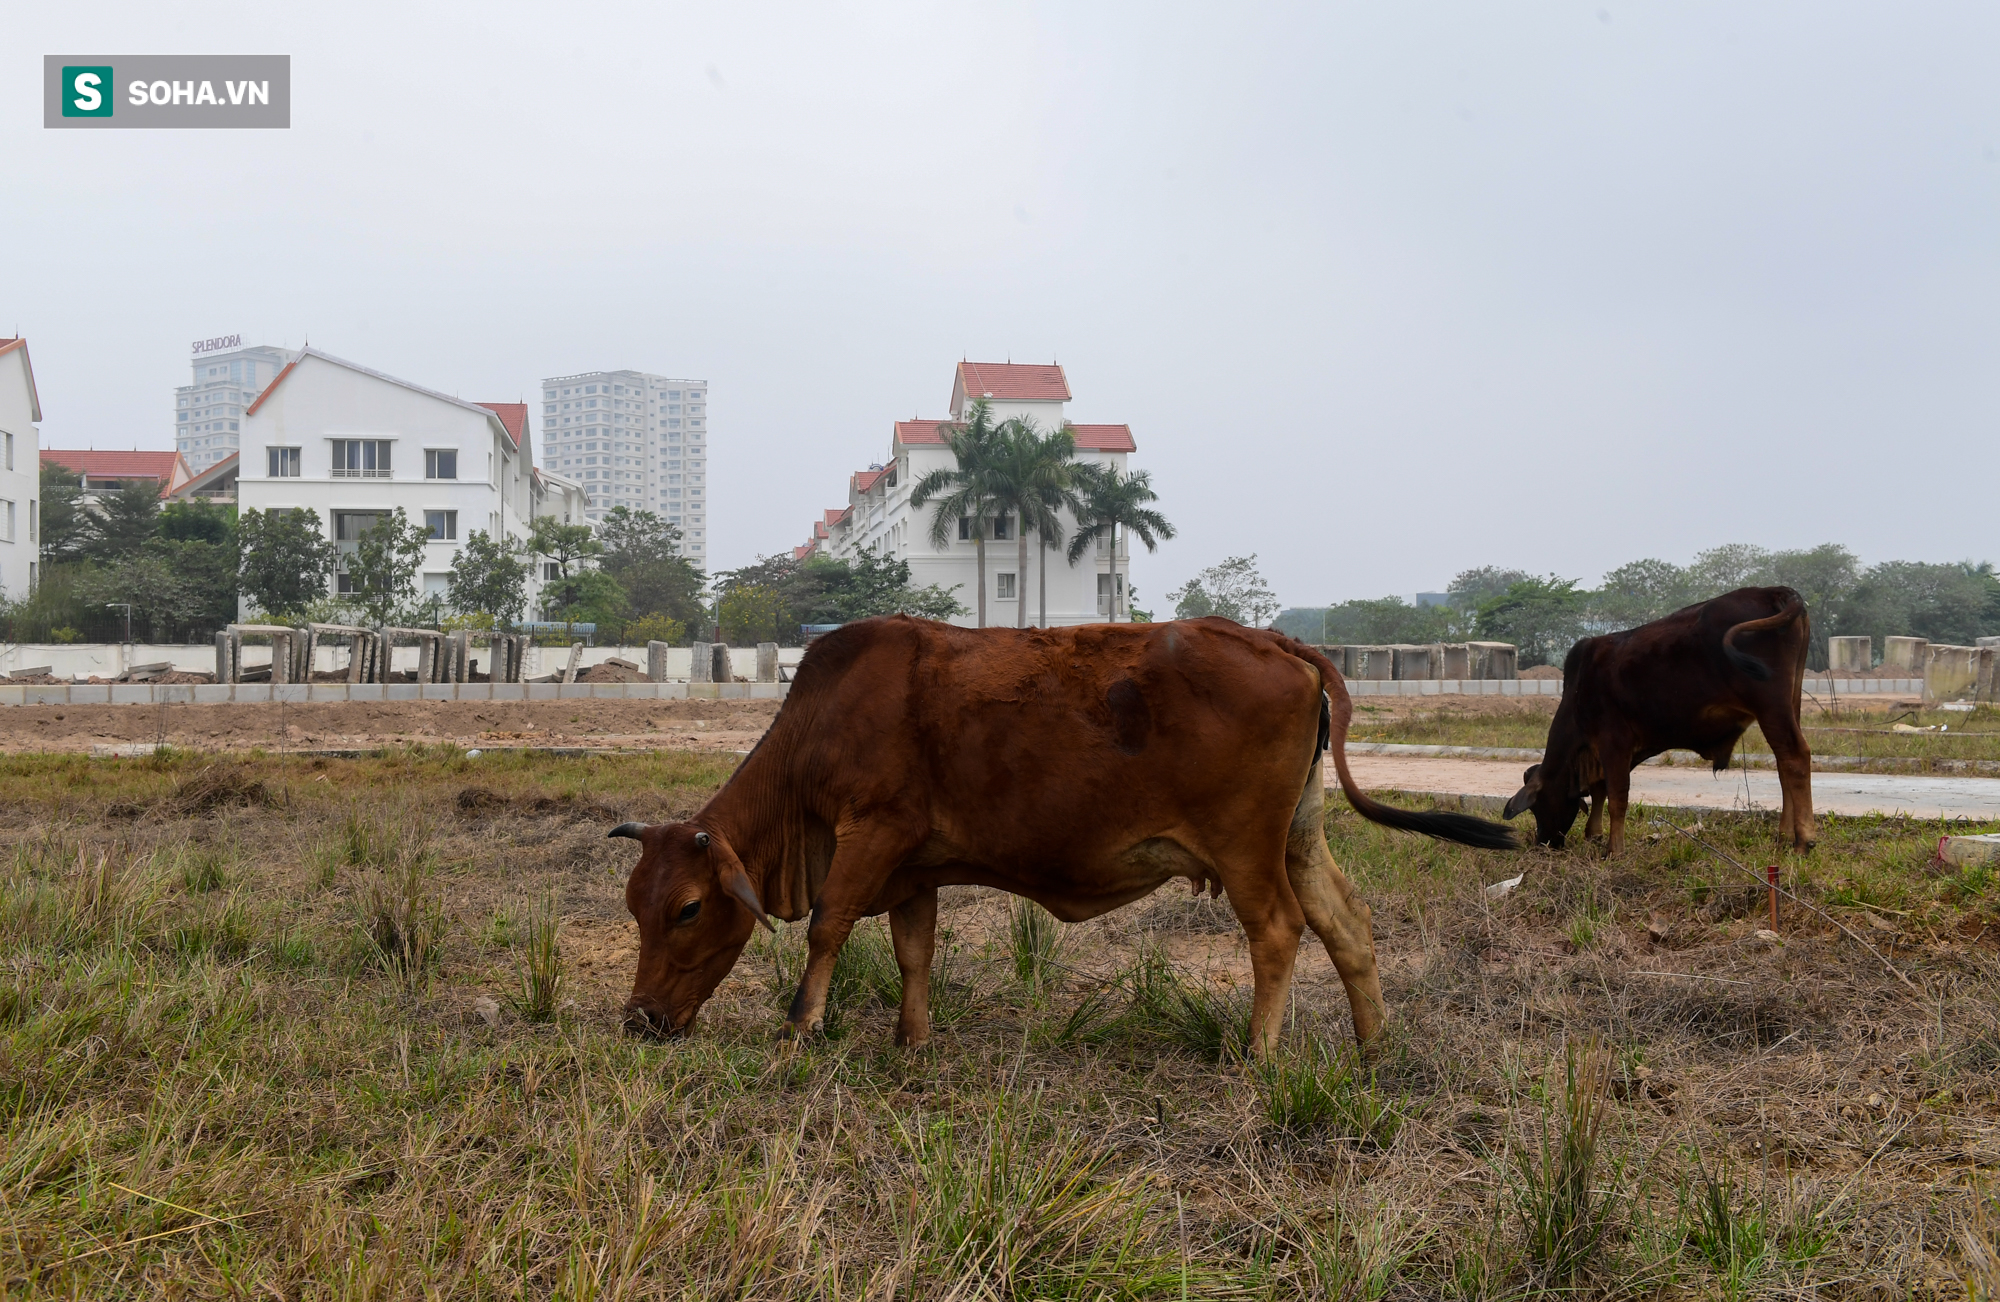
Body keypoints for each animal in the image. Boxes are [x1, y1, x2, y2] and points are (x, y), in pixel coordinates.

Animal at [608, 616, 1512, 1056]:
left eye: (687, 909)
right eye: (634, 908)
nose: (639, 1020)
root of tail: (1272, 641)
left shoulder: (871, 834)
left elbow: (828, 928)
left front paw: (800, 1028)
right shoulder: (915, 867)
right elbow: (913, 952)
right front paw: (911, 1042)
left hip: (1246, 848)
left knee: (1280, 932)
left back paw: (1259, 1055)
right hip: (1299, 834)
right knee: (1346, 924)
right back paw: (1372, 1047)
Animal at [1504, 588, 1816, 856]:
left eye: (1537, 806)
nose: (1544, 842)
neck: (1579, 688)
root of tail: (1774, 591)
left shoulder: (1613, 740)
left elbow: (1617, 795)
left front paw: (1614, 850)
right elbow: (1600, 790)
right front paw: (1595, 835)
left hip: (1771, 706)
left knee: (1795, 757)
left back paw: (1803, 840)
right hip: (1791, 702)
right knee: (1784, 765)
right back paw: (1784, 837)